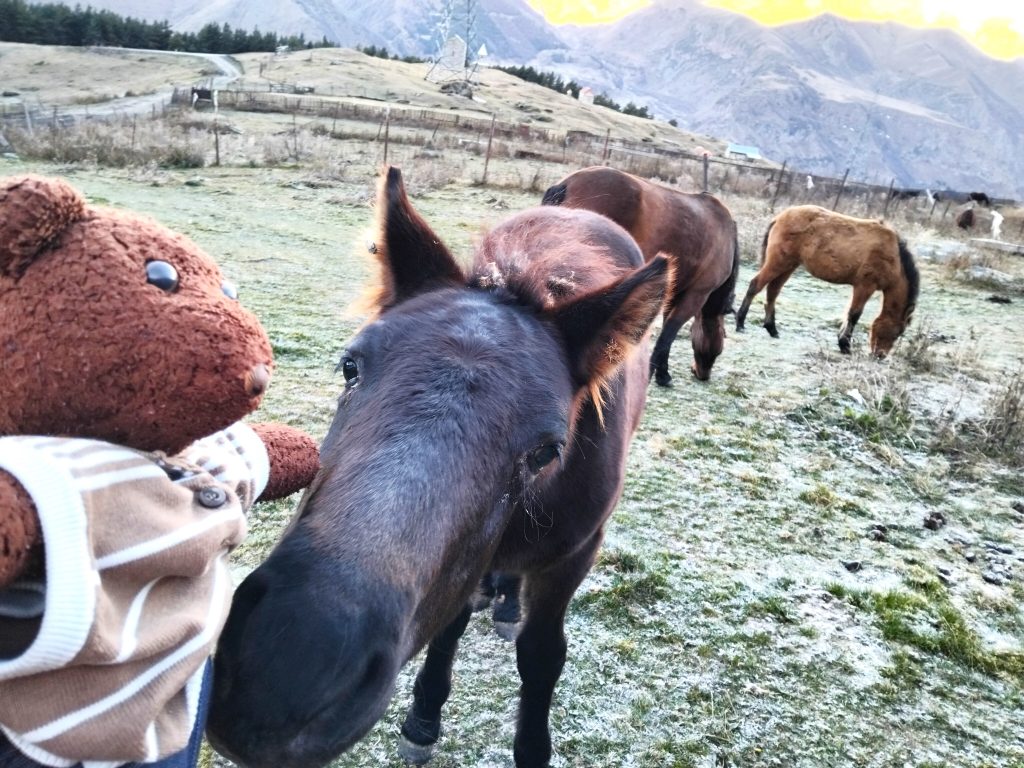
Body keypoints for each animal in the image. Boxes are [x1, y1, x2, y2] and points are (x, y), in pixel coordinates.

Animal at [206, 167, 669, 768]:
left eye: (546, 450)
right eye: (350, 368)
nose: (291, 669)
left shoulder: (576, 553)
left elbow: (542, 657)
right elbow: (448, 626)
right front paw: (424, 718)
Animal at [541, 165, 739, 385]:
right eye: (720, 343)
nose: (702, 374)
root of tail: (566, 184)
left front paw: (662, 373)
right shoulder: (697, 294)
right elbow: (668, 334)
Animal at [735, 205, 920, 358]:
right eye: (897, 333)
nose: (880, 356)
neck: (894, 256)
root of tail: (779, 218)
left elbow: (849, 313)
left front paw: (842, 341)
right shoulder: (865, 286)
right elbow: (854, 314)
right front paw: (845, 345)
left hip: (788, 265)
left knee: (773, 291)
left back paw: (772, 329)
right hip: (778, 263)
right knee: (755, 285)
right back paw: (740, 323)